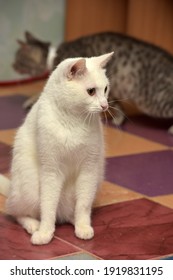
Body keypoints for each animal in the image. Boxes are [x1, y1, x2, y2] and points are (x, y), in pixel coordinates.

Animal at [0, 52, 113, 245]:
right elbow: (48, 206)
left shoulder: (89, 169)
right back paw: (34, 225)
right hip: (29, 188)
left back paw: (75, 221)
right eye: (91, 91)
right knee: (17, 212)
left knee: (70, 211)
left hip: (95, 180)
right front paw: (45, 232)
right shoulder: (51, 170)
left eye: (105, 89)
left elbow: (83, 205)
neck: (74, 121)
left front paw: (83, 226)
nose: (105, 105)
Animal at [13, 31, 173, 132]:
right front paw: (119, 119)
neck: (52, 56)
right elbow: (117, 106)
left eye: (18, 59)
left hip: (154, 100)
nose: (12, 65)